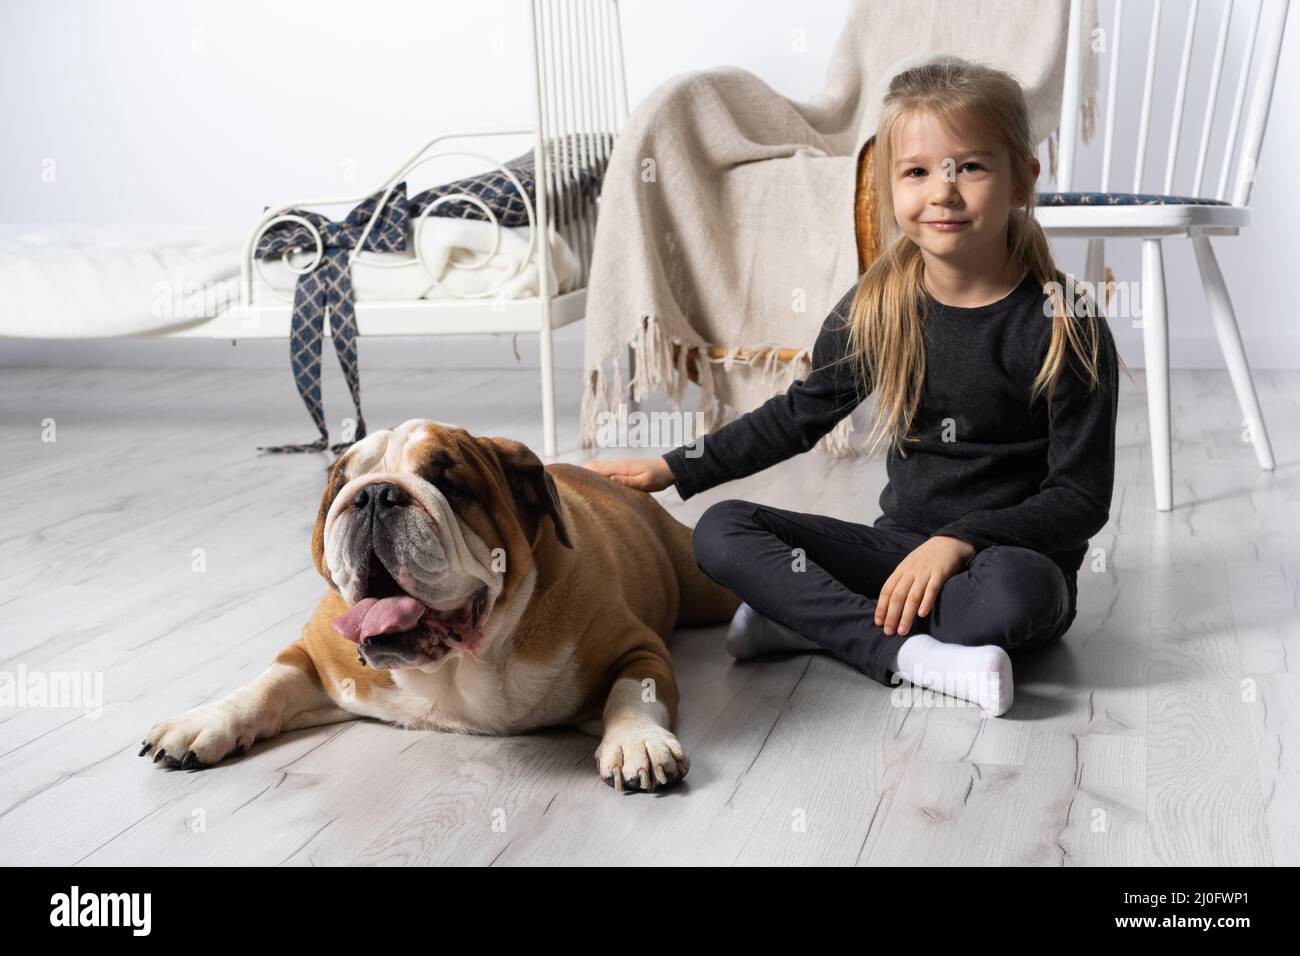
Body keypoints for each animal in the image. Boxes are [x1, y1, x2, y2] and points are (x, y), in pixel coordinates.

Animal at [142, 418, 743, 790]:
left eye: (451, 486)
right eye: (341, 483)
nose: (373, 494)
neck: (457, 664)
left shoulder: (636, 647)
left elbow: (633, 692)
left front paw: (638, 742)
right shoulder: (314, 655)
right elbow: (264, 685)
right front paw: (203, 722)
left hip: (701, 580)